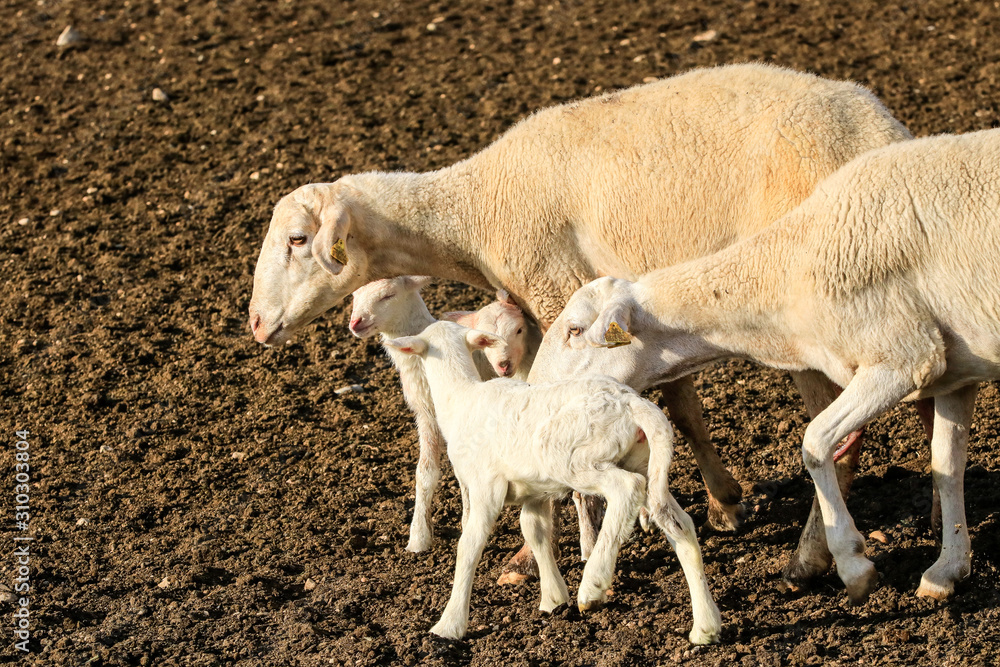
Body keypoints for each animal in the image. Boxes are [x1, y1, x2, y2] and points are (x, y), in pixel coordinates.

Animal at [349, 276, 531, 552]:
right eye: (354, 295)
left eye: (388, 295)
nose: (356, 322)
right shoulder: (426, 413)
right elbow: (425, 473)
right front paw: (418, 538)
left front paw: (467, 521)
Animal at [382, 320, 721, 643]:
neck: (460, 398)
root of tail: (631, 403)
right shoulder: (532, 493)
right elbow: (535, 533)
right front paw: (553, 599)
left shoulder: (485, 486)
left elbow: (470, 544)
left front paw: (449, 625)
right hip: (644, 461)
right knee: (679, 524)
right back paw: (705, 626)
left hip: (577, 458)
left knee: (626, 489)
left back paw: (593, 585)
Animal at [530, 128, 1000, 604]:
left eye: (573, 330)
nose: (533, 388)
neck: (788, 274)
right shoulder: (954, 374)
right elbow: (947, 465)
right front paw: (947, 570)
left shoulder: (905, 358)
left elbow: (815, 444)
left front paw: (853, 565)